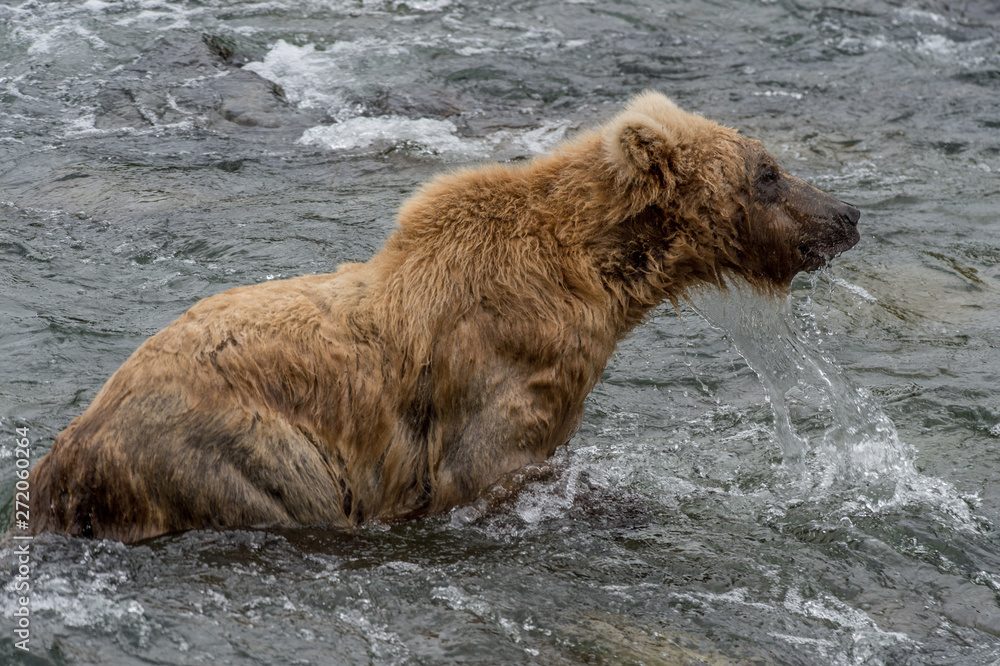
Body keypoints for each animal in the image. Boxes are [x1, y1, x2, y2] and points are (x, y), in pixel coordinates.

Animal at [27, 91, 860, 543]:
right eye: (767, 172)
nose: (848, 215)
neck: (592, 281)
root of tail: (66, 459)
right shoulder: (499, 368)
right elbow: (487, 466)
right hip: (238, 451)